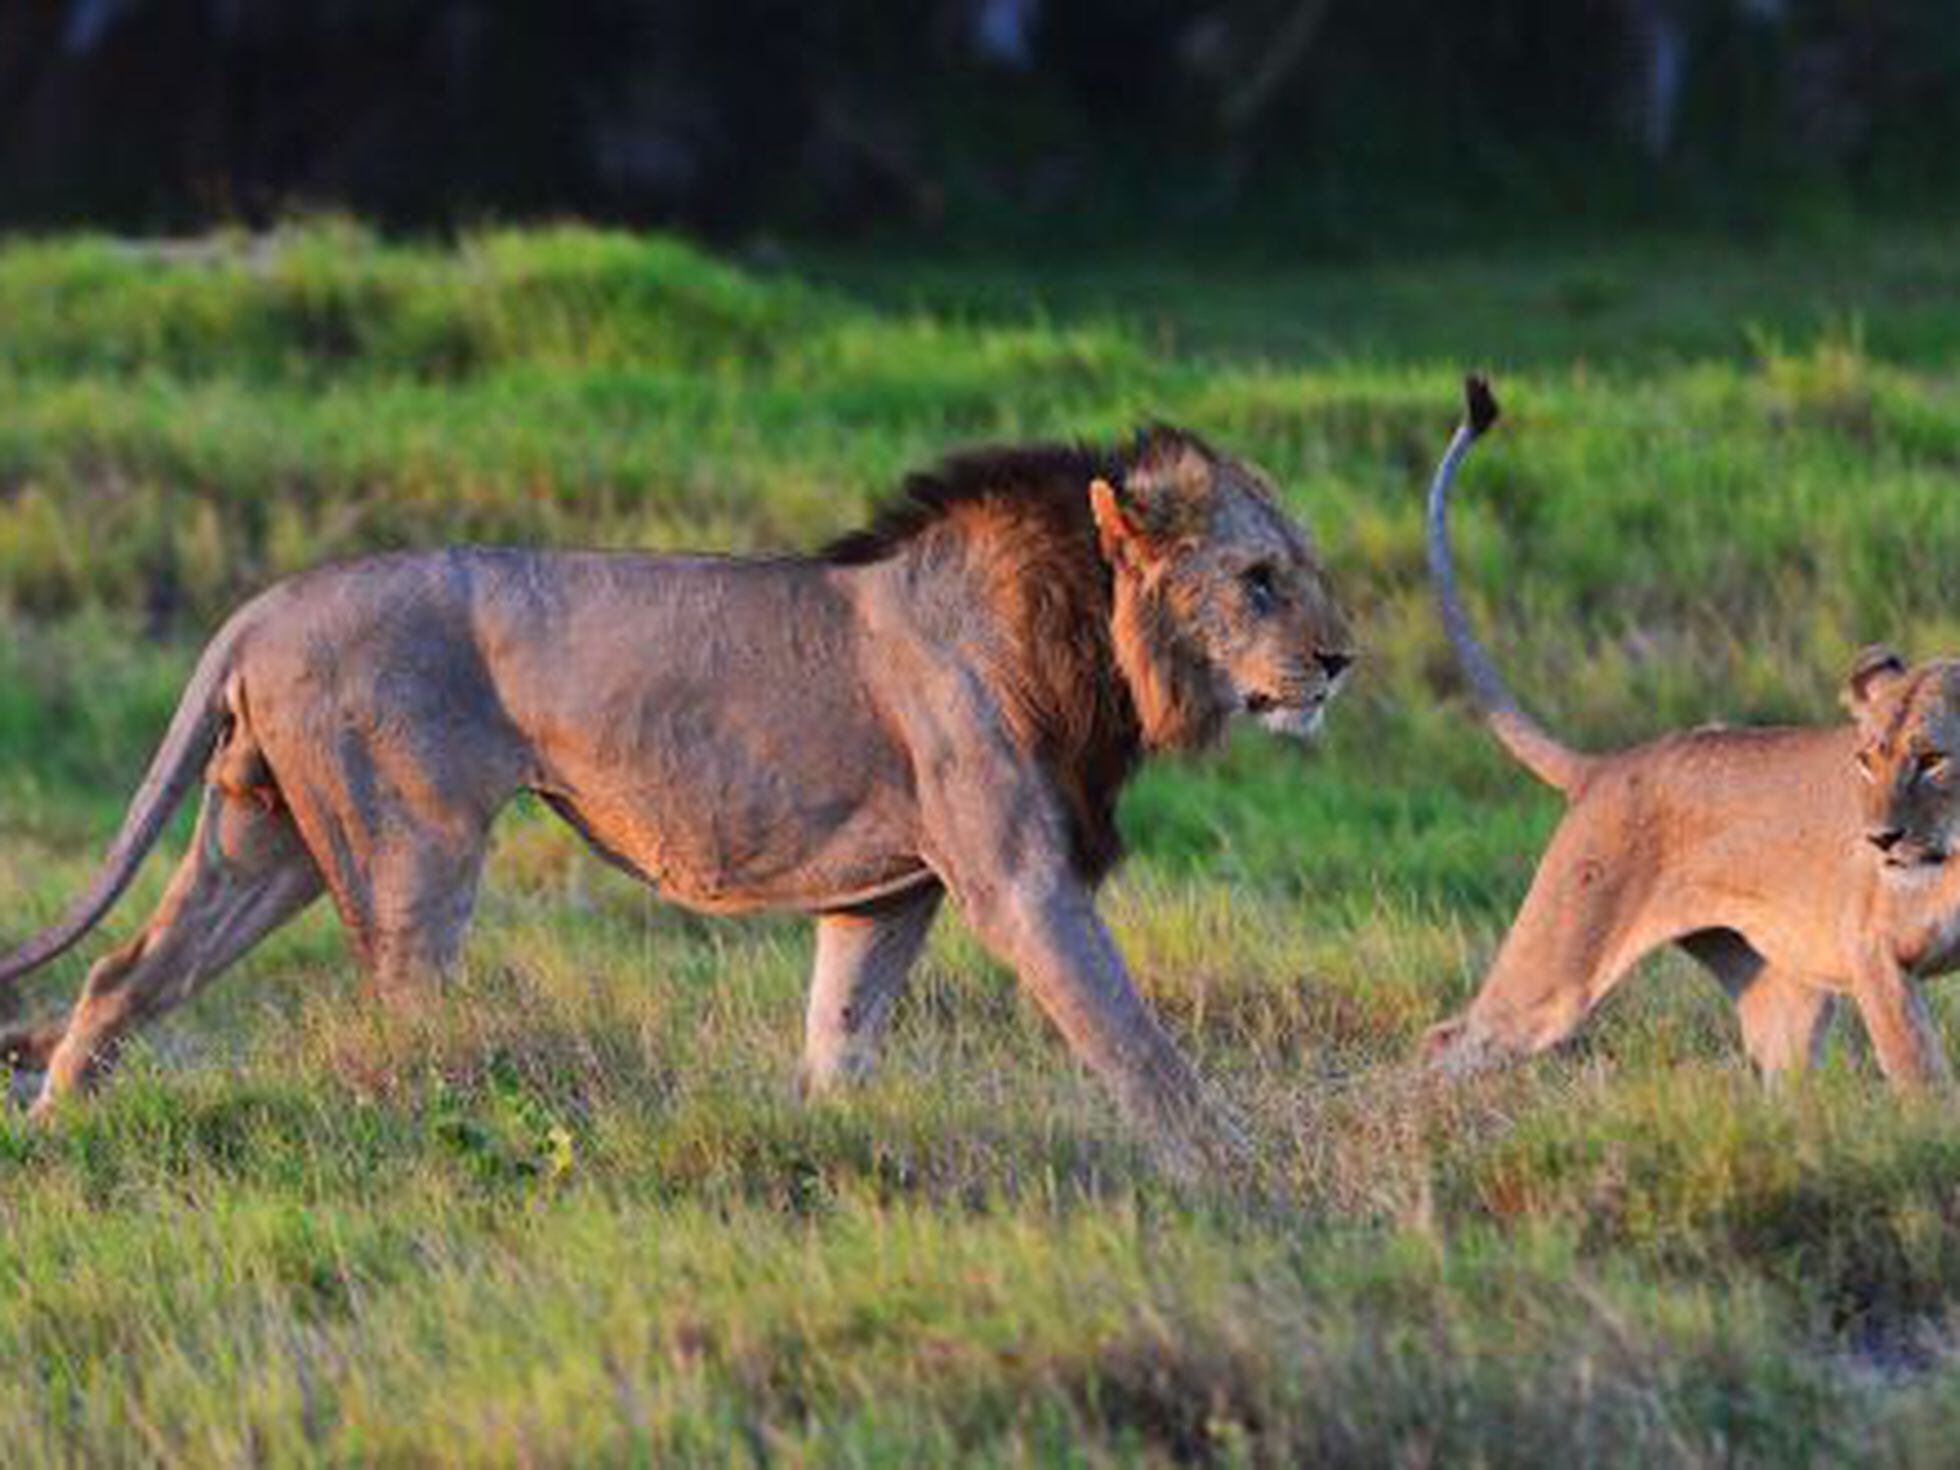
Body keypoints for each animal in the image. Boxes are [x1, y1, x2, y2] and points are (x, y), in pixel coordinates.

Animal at [0, 429, 1356, 1176]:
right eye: (1258, 577)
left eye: (1304, 570)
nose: (1341, 660)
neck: (1091, 639)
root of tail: (265, 604)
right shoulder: (1017, 877)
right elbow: (1133, 1042)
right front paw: (1244, 1181)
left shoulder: (886, 897)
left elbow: (838, 1042)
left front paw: (828, 1158)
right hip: (409, 845)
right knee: (397, 1023)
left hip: (265, 836)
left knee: (123, 974)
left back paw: (54, 1134)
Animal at [1426, 380, 1960, 1097]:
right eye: (1866, 761)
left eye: (1931, 759)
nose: (1879, 840)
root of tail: (1603, 765)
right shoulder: (1872, 953)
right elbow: (1922, 1078)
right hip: (1554, 971)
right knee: (1447, 1039)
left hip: (1784, 996)